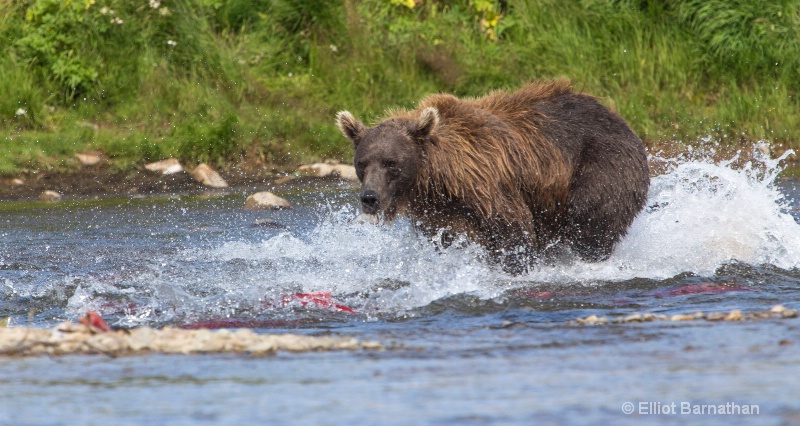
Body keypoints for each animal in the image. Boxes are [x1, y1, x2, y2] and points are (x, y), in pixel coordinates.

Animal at [336, 79, 648, 272]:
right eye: (362, 163)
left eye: (391, 163)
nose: (370, 198)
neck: (438, 179)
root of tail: (620, 119)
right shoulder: (438, 213)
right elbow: (447, 239)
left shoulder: (489, 186)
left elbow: (513, 231)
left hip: (602, 165)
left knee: (592, 221)